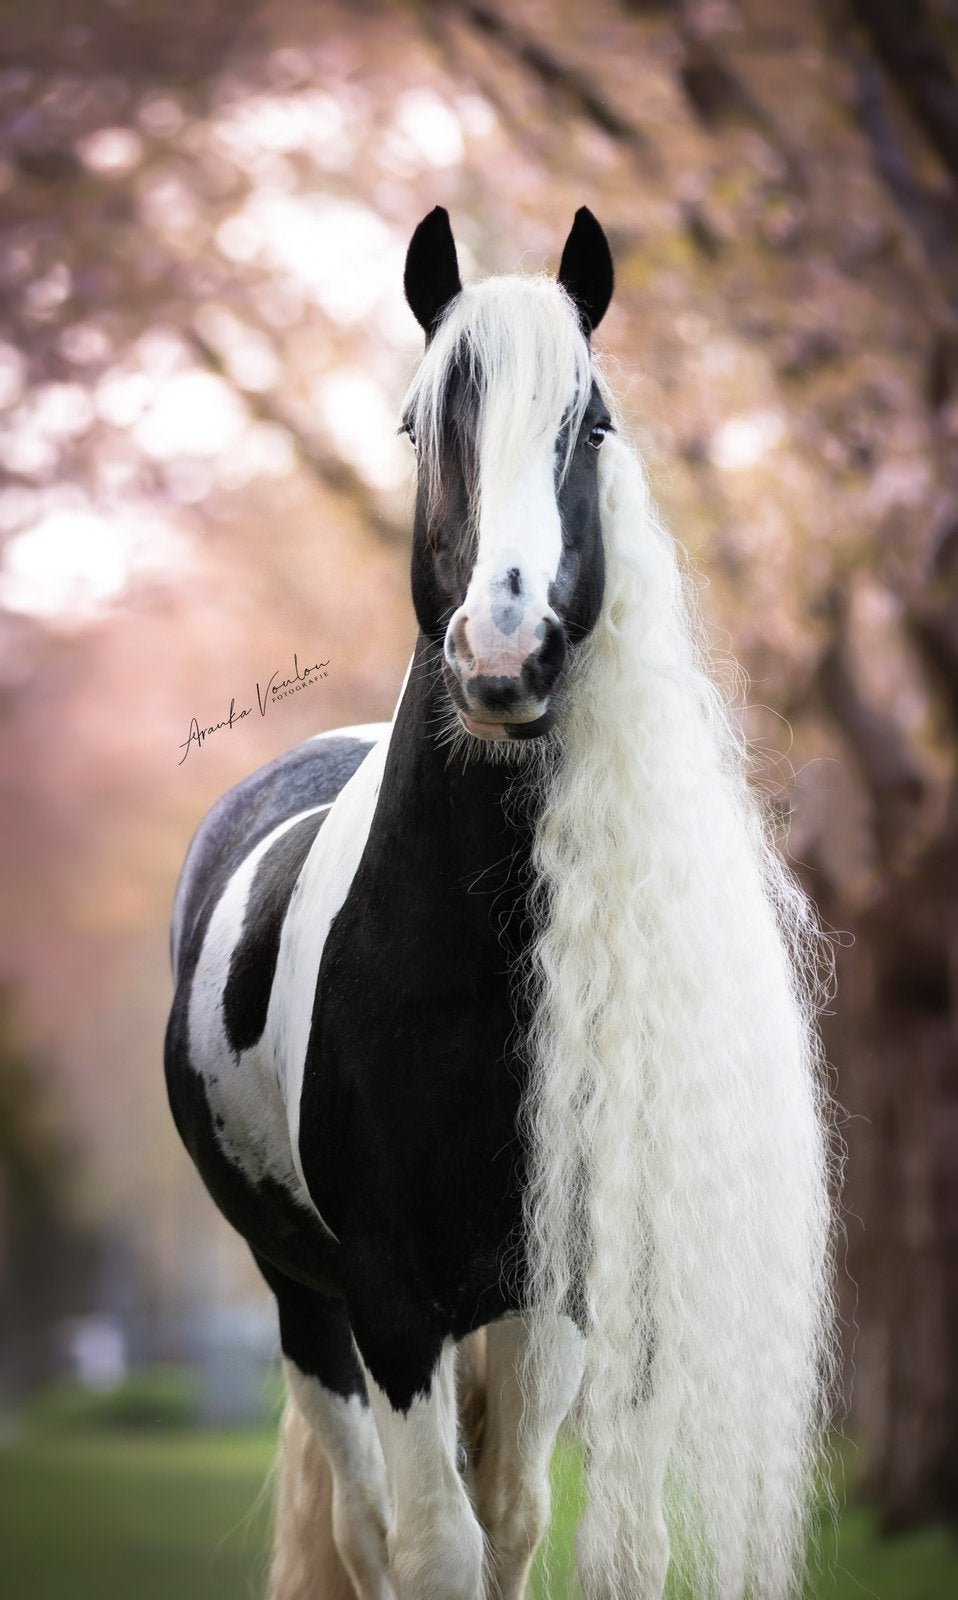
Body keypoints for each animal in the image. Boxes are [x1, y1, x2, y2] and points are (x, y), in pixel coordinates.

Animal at [165, 206, 835, 1600]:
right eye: (424, 425)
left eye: (593, 424)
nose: (504, 656)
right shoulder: (389, 1298)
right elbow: (431, 1548)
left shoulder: (600, 1293)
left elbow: (563, 1536)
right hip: (302, 1300)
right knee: (370, 1530)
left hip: (527, 1322)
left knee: (511, 1506)